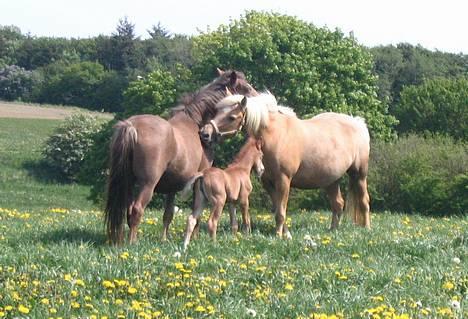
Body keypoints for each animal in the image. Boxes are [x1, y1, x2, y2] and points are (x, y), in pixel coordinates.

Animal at [104, 70, 258, 245]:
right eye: (246, 88)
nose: (258, 96)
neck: (195, 124)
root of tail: (131, 126)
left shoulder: (172, 186)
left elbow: (168, 214)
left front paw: (164, 239)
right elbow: (197, 214)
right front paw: (195, 238)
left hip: (128, 182)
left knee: (127, 210)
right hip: (147, 184)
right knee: (137, 209)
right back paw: (132, 243)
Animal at [199, 92, 372, 238]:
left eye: (232, 117)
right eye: (216, 112)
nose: (204, 134)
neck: (276, 135)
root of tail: (358, 124)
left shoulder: (284, 180)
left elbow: (281, 212)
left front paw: (278, 236)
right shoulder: (268, 183)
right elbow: (278, 209)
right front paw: (286, 234)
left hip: (359, 174)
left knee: (364, 201)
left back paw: (367, 229)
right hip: (331, 180)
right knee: (338, 204)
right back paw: (333, 230)